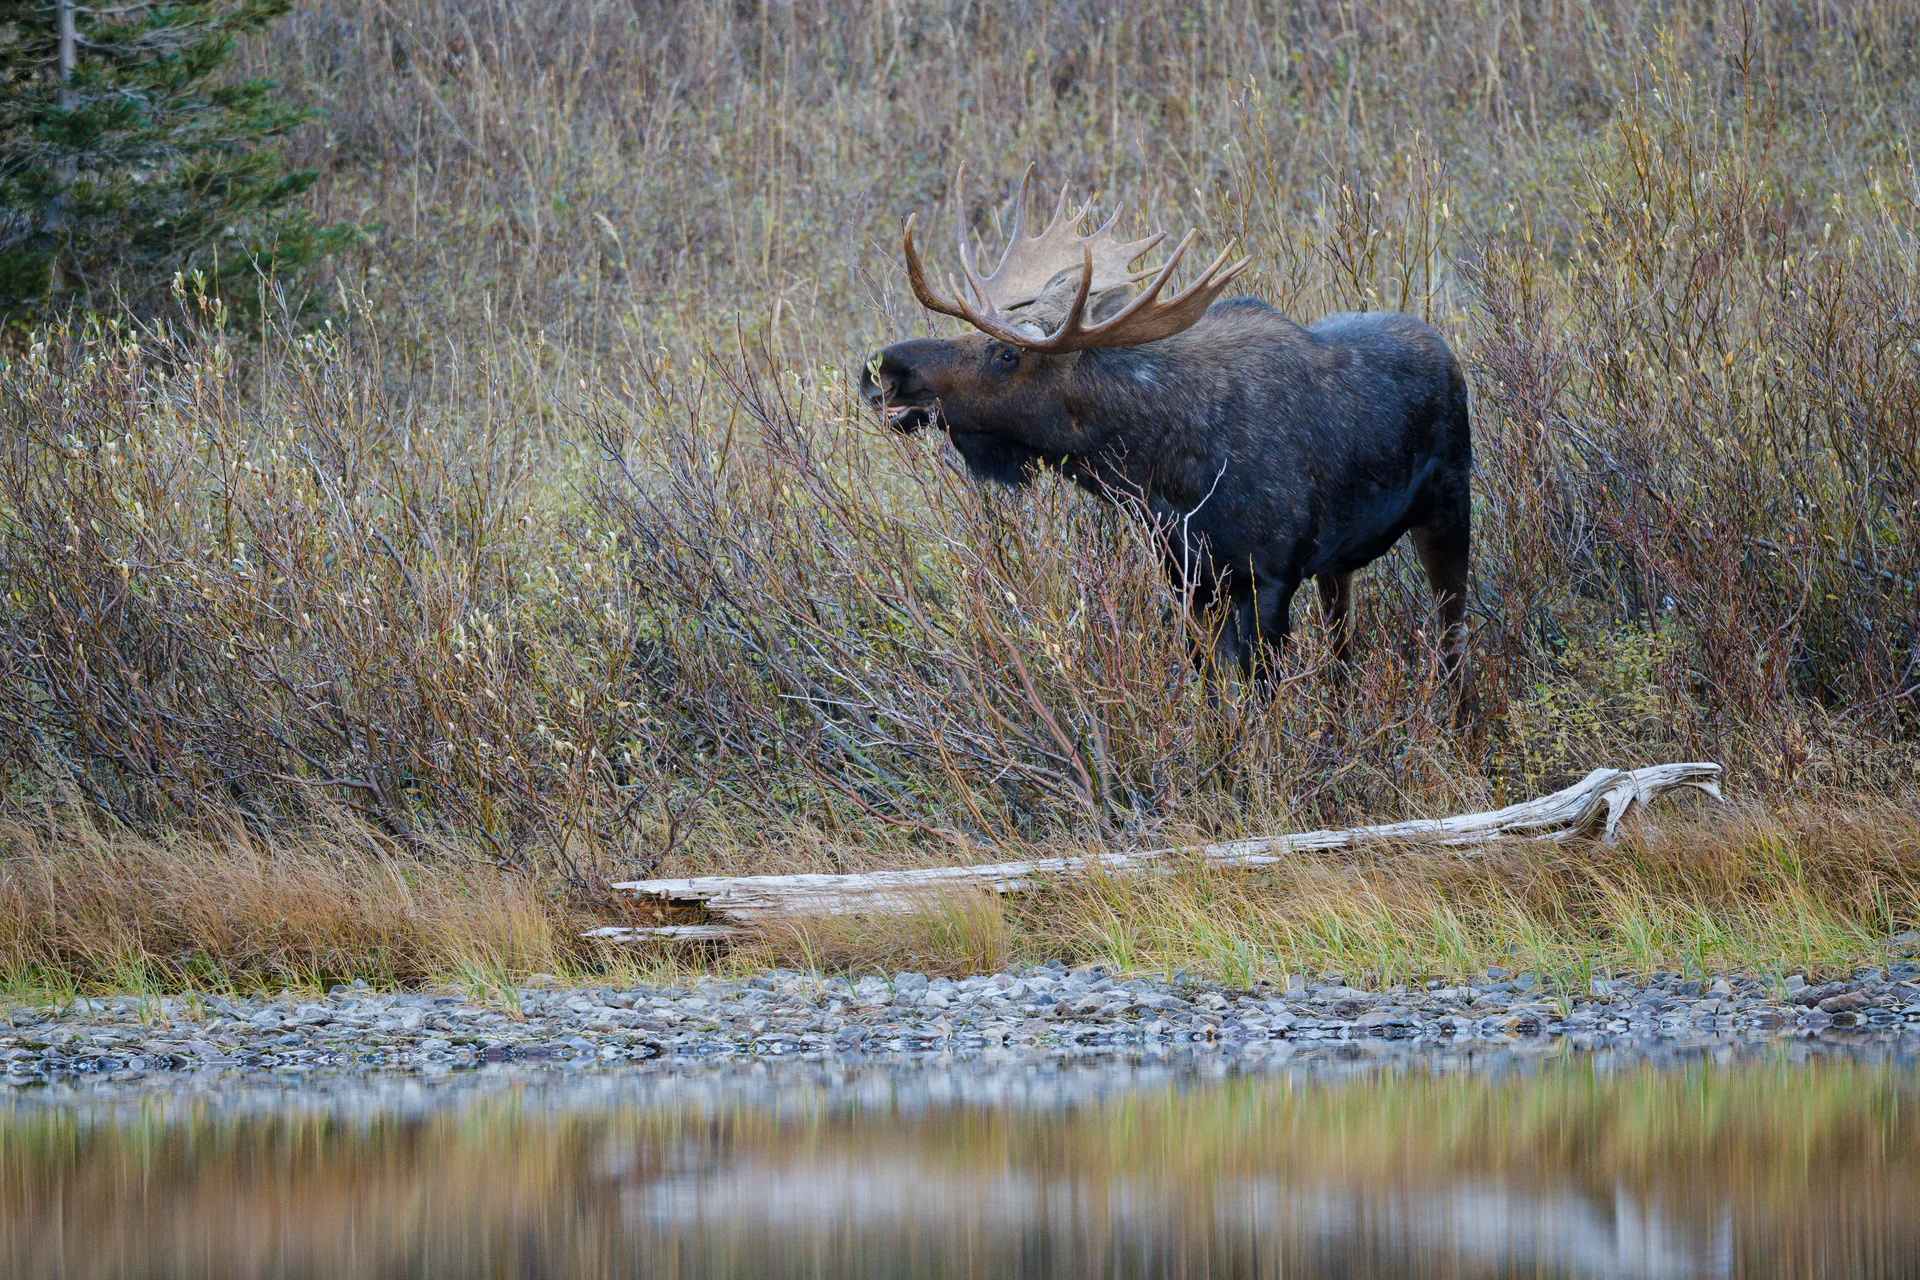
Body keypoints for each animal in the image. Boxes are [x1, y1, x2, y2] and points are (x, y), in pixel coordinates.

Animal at [859, 166, 1473, 700]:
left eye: (1006, 354)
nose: (881, 370)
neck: (1156, 479)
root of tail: (1448, 353)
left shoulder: (1270, 577)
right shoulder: (1189, 580)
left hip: (1449, 509)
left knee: (1451, 641)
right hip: (1338, 565)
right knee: (1343, 651)